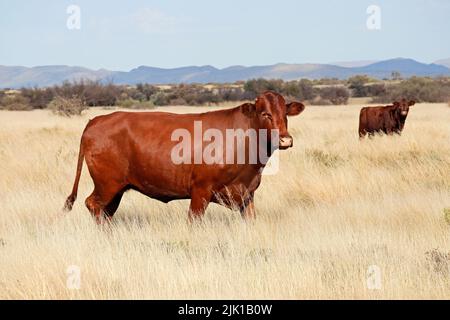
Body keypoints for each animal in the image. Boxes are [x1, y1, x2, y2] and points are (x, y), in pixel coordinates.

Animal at [64, 91, 306, 224]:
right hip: (107, 184)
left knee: (105, 213)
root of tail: (96, 120)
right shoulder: (200, 191)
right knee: (94, 206)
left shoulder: (247, 195)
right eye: (265, 113)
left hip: (117, 189)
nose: (285, 140)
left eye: (285, 114)